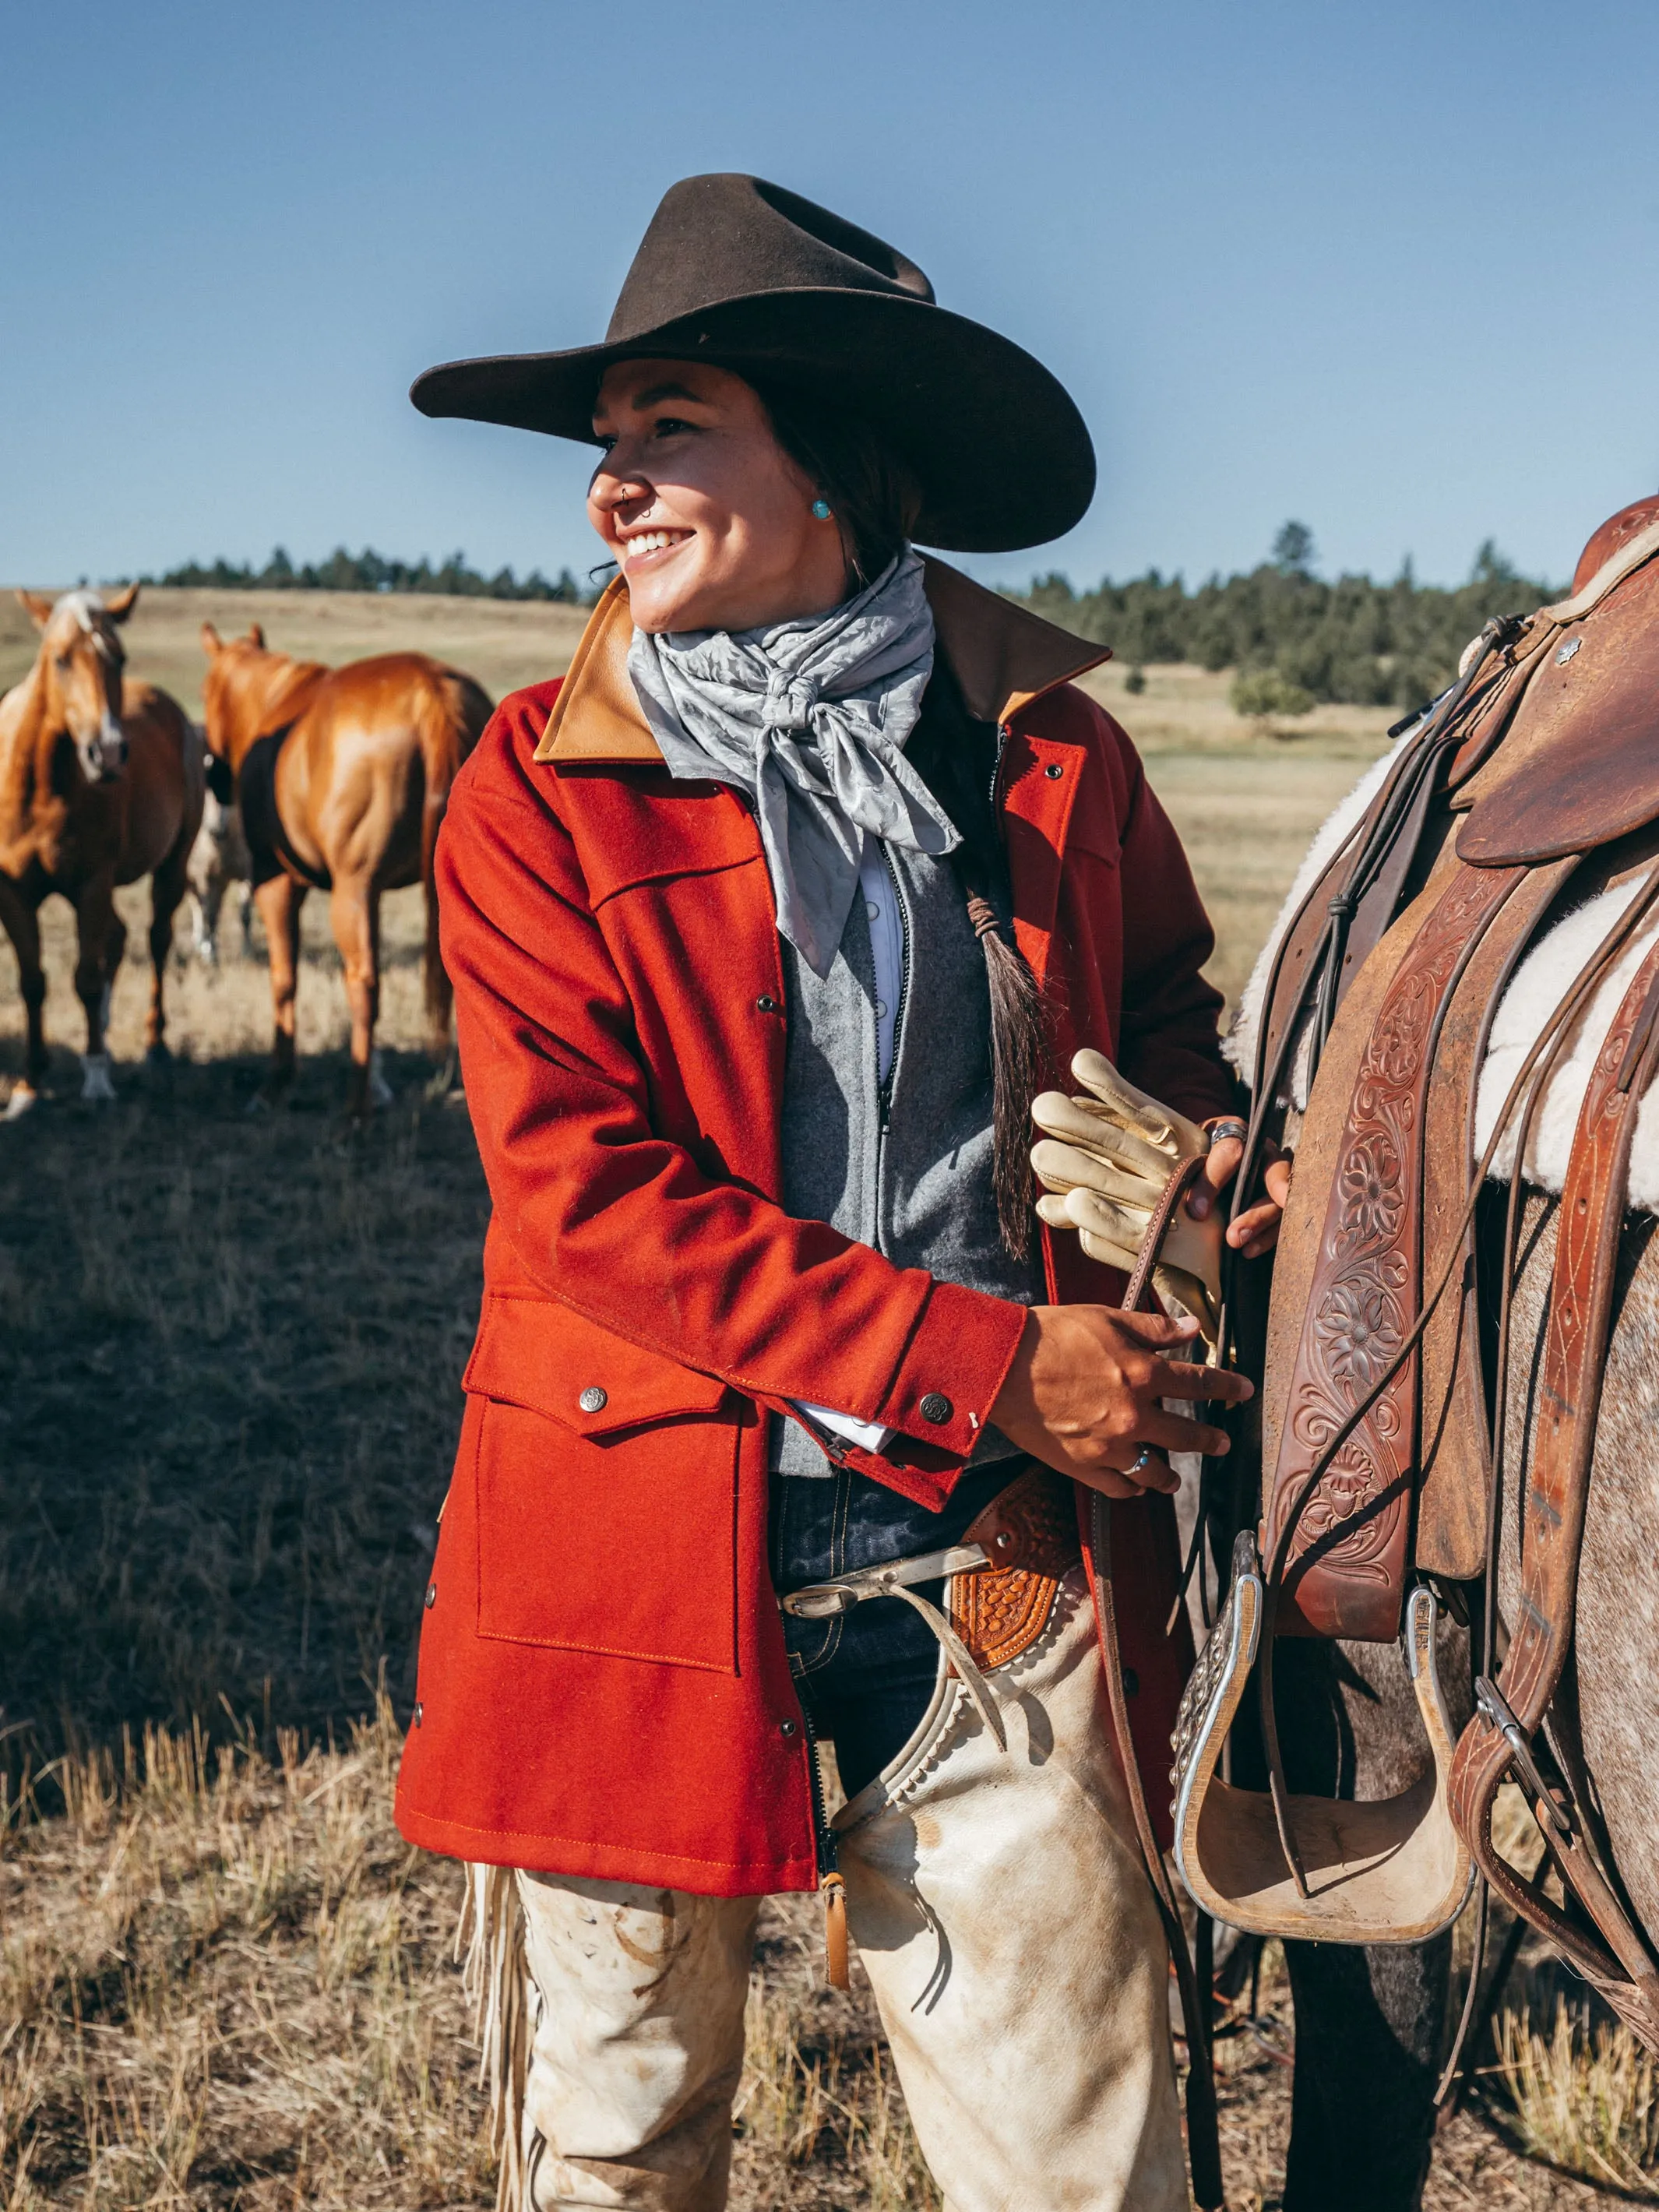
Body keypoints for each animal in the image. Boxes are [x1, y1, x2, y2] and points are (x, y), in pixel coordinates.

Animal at [0, 583, 203, 1115]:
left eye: (119, 657)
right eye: (60, 659)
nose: (107, 752)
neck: (40, 785)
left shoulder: (91, 884)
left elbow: (86, 980)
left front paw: (95, 1078)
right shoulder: (14, 894)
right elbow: (33, 981)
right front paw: (29, 1084)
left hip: (171, 868)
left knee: (155, 940)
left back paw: (154, 1044)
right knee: (117, 938)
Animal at [198, 623, 491, 1115]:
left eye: (204, 693)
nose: (215, 781)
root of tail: (431, 692)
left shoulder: (277, 882)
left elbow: (284, 977)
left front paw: (276, 1082)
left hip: (351, 891)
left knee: (364, 986)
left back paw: (355, 1111)